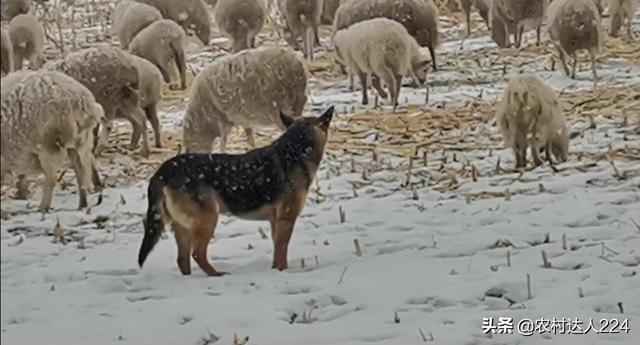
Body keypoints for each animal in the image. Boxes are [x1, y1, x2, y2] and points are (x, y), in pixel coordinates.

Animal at [0, 70, 104, 210]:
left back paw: (43, 207)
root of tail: (79, 99)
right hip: (81, 141)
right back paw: (83, 202)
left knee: (51, 177)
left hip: (49, 143)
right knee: (81, 169)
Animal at [139, 106, 336, 276]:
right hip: (208, 220)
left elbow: (277, 252)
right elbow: (281, 252)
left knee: (183, 260)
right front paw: (281, 272)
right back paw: (216, 274)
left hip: (184, 228)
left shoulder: (276, 222)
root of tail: (164, 170)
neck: (294, 150)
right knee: (197, 254)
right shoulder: (286, 219)